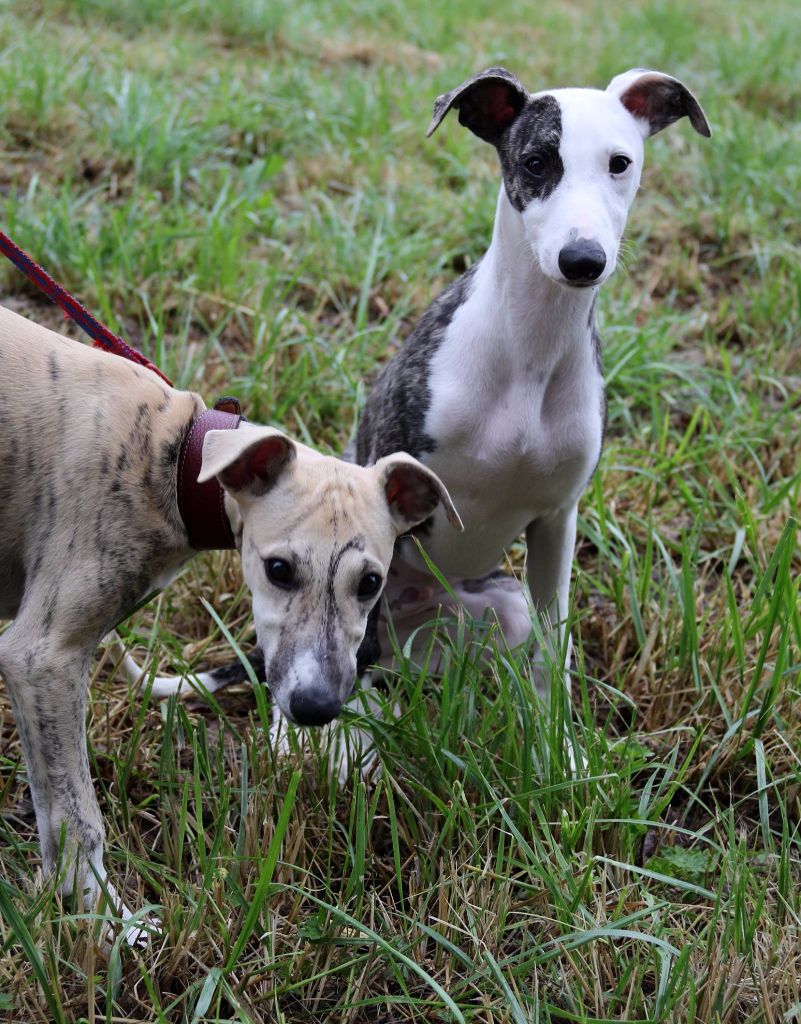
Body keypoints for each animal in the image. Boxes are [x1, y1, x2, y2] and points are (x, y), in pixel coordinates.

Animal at [0, 305, 460, 929]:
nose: (316, 708)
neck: (173, 453)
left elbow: (53, 819)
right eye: (278, 569)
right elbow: (77, 818)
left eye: (370, 583)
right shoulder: (41, 656)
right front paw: (107, 920)